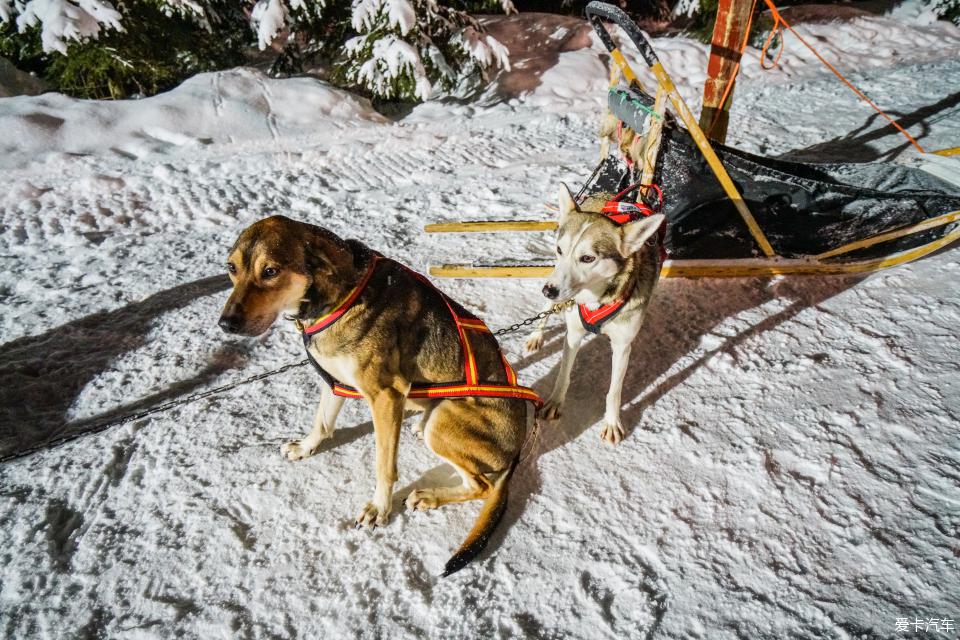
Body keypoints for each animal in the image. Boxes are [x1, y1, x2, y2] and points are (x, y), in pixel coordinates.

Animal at [218, 215, 532, 576]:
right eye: (231, 268)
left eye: (270, 271)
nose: (226, 324)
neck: (339, 298)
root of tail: (517, 449)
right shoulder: (334, 381)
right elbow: (322, 424)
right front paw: (307, 447)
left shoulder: (385, 396)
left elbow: (384, 465)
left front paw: (379, 509)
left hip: (442, 422)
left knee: (481, 486)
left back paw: (429, 496)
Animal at [520, 185, 664, 444]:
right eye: (560, 250)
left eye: (588, 258)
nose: (548, 290)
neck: (598, 299)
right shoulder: (573, 334)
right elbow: (563, 374)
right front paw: (555, 403)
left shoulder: (622, 346)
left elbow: (614, 391)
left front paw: (612, 423)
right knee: (545, 311)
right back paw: (536, 335)